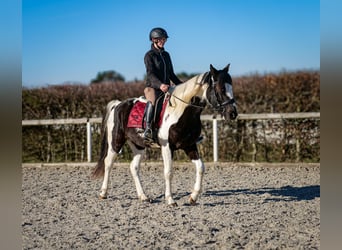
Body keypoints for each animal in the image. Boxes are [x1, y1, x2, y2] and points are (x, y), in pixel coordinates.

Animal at [92, 63, 239, 206]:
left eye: (231, 87)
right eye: (220, 89)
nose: (233, 113)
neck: (182, 111)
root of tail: (118, 104)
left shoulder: (190, 145)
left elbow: (201, 167)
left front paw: (193, 197)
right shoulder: (167, 147)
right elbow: (168, 172)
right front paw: (170, 200)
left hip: (138, 145)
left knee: (134, 167)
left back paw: (143, 197)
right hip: (116, 142)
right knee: (108, 163)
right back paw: (103, 193)